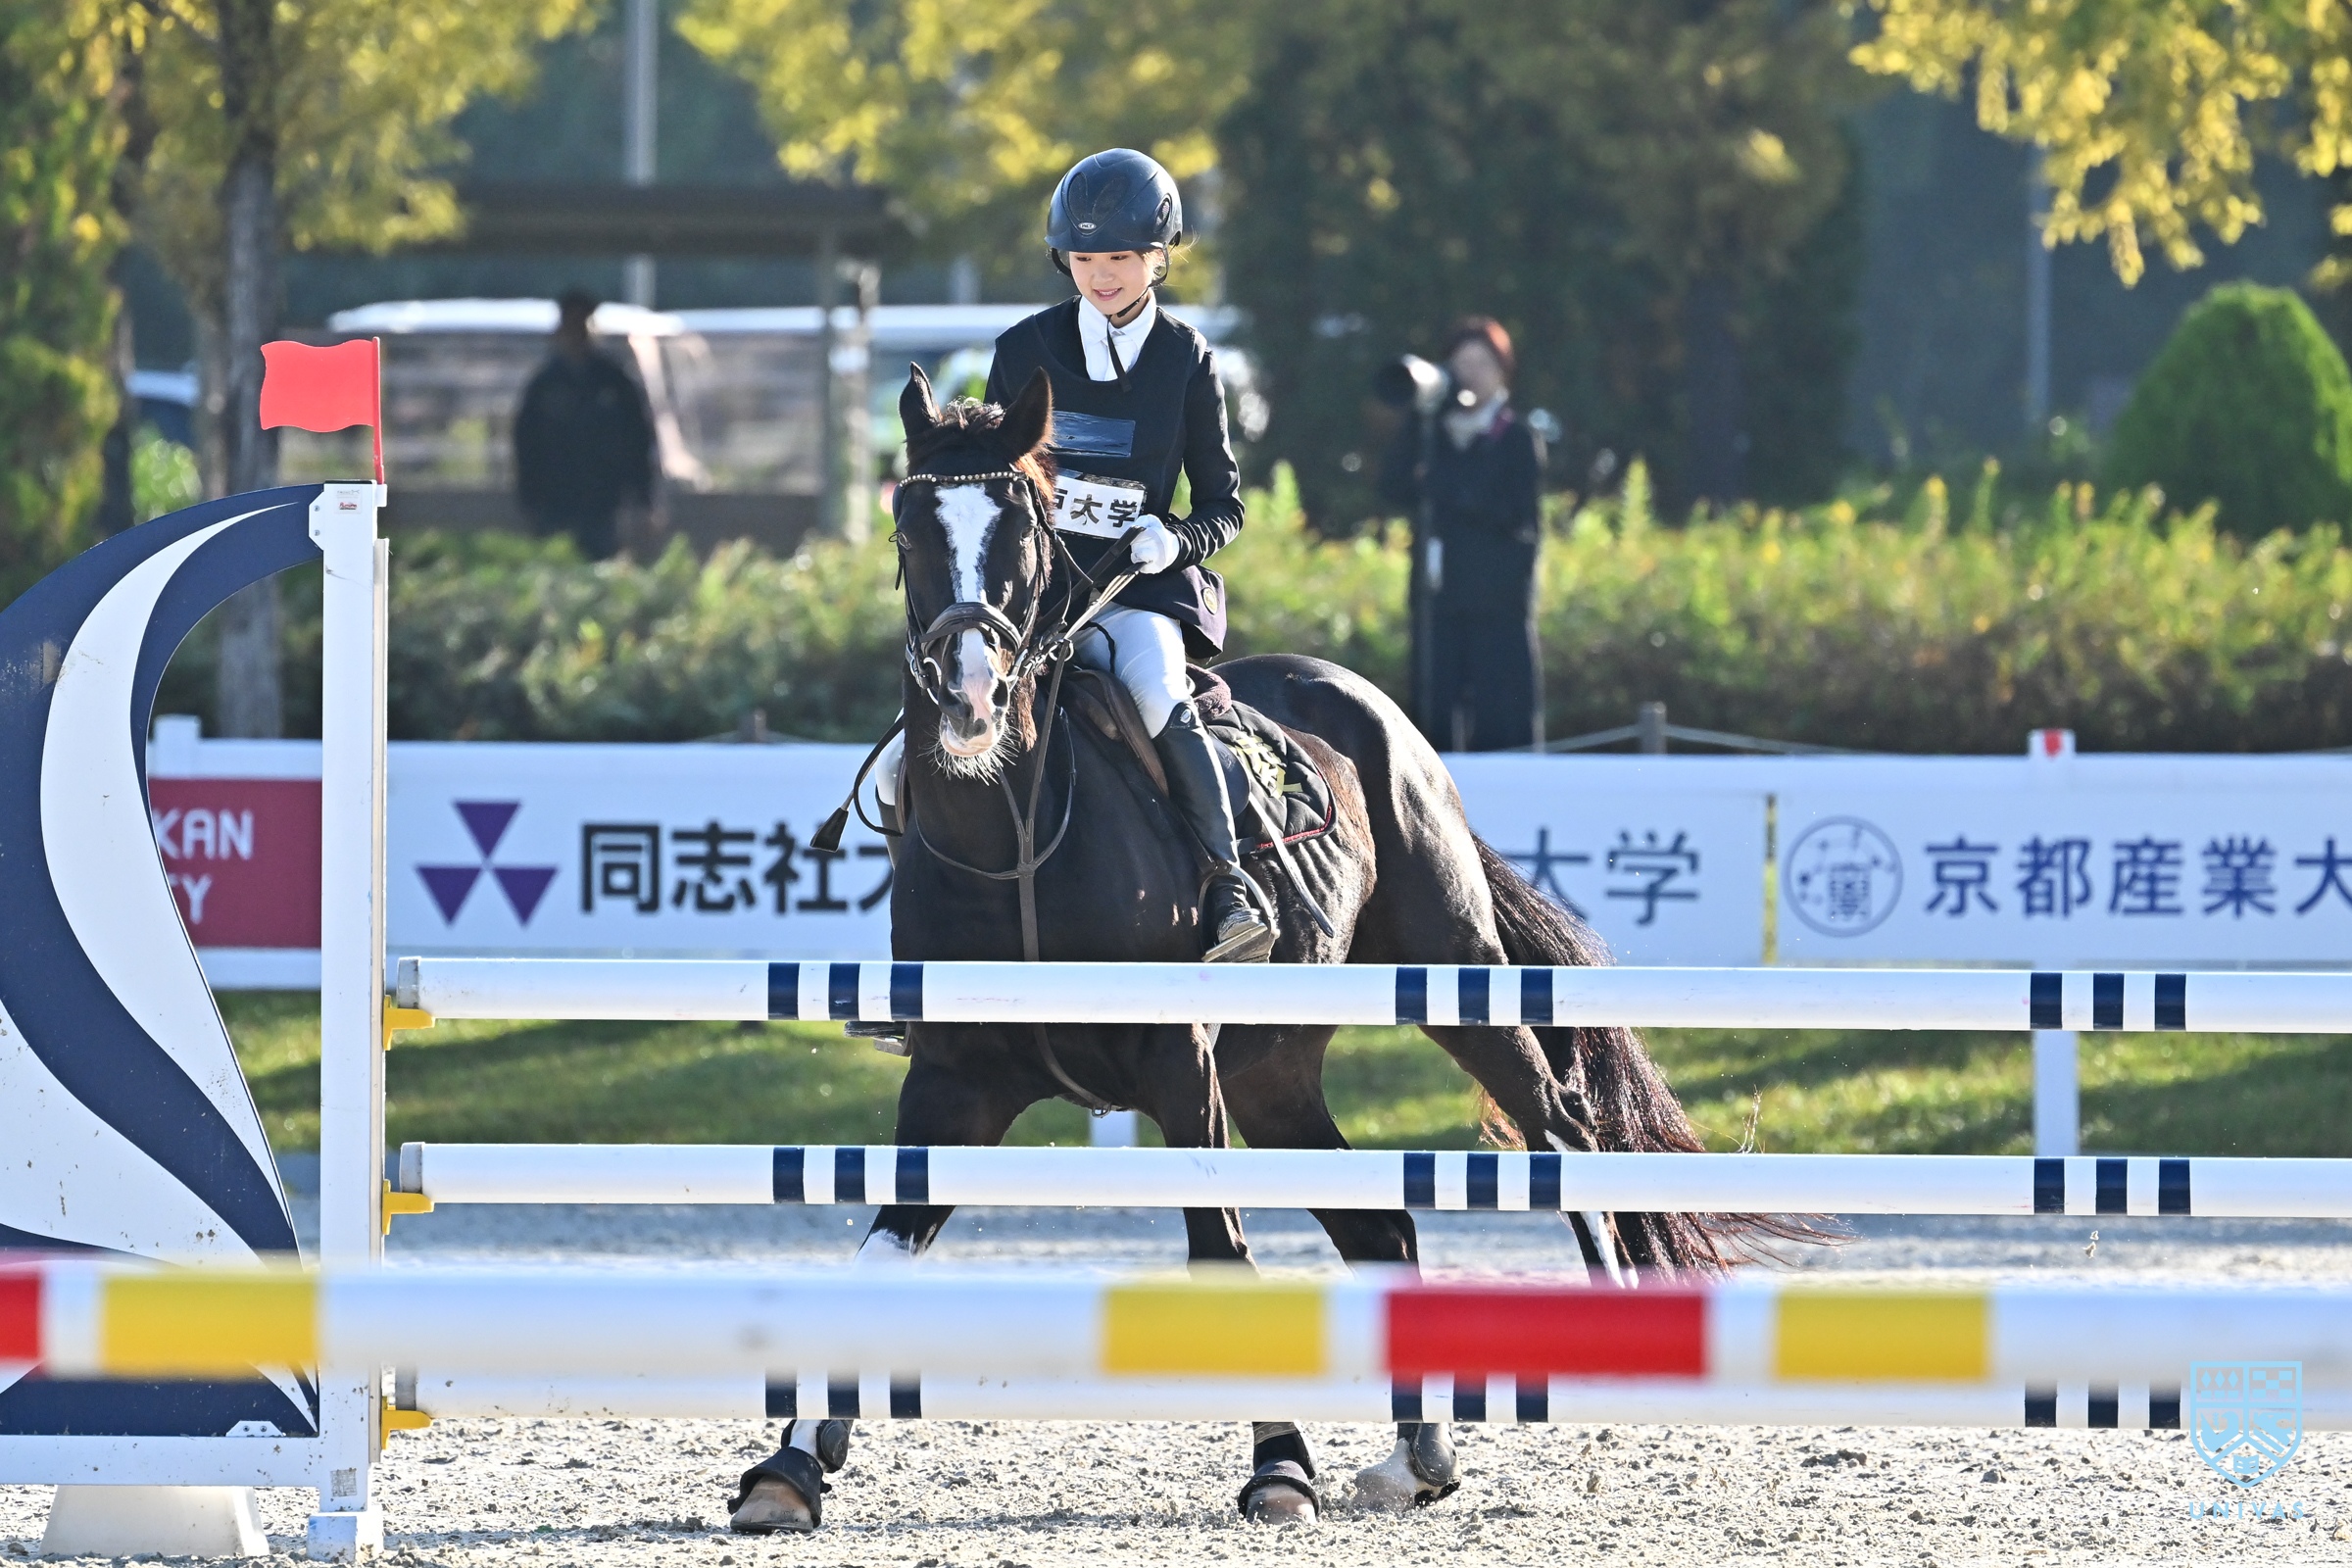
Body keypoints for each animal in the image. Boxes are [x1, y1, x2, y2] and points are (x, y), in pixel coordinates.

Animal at [727, 364, 1744, 1533]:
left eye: (1022, 529)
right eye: (908, 527)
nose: (972, 699)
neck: (1013, 835)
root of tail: (1378, 709)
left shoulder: (1181, 1068)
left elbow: (1221, 1255)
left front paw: (1279, 1466)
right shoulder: (955, 1084)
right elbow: (881, 1251)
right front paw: (790, 1463)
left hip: (1451, 980)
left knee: (1560, 1128)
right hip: (1274, 1073)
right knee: (1384, 1230)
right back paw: (1419, 1456)